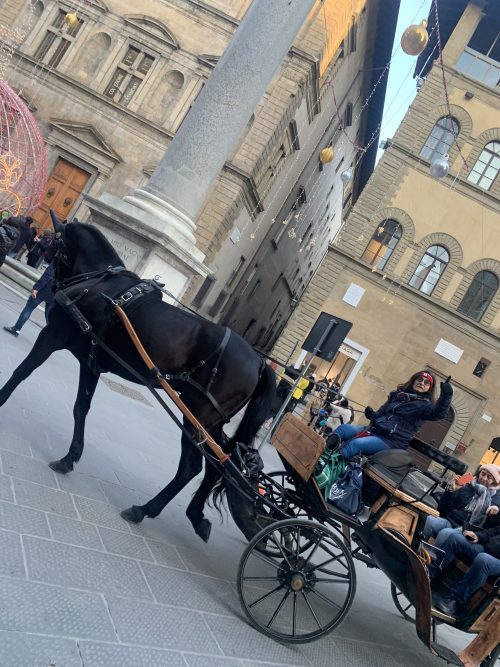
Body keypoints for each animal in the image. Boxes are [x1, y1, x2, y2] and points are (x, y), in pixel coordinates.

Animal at [0, 219, 276, 544]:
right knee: (219, 466)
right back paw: (195, 515)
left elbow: (21, 373)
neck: (96, 281)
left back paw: (143, 510)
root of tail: (259, 361)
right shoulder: (91, 363)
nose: (49, 282)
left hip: (199, 415)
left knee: (192, 467)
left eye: (53, 243)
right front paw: (70, 456)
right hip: (211, 422)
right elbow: (81, 407)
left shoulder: (52, 336)